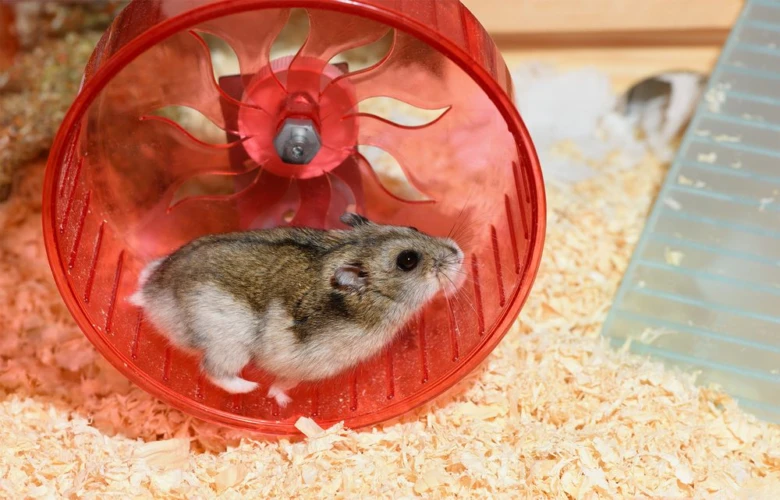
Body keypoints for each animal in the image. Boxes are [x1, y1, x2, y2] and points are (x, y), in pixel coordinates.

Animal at [129, 212, 464, 407]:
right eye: (407, 260)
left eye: (413, 225)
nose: (459, 255)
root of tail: (154, 297)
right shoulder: (308, 364)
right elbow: (286, 381)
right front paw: (279, 398)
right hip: (228, 346)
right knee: (214, 371)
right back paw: (250, 388)